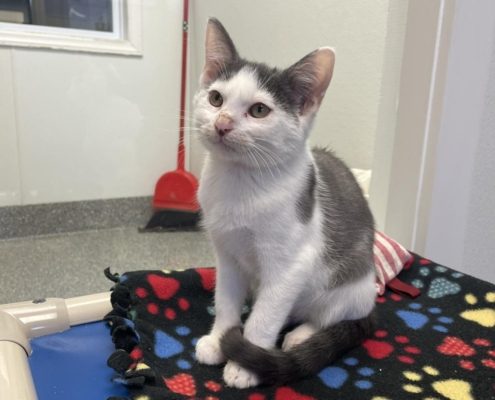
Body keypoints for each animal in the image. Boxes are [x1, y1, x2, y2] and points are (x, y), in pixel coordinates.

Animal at [194, 18, 376, 388]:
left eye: (259, 110)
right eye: (216, 98)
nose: (222, 124)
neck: (239, 183)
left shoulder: (290, 265)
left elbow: (265, 316)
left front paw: (245, 365)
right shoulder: (226, 253)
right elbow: (225, 299)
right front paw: (220, 339)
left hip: (353, 284)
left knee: (336, 313)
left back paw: (301, 336)